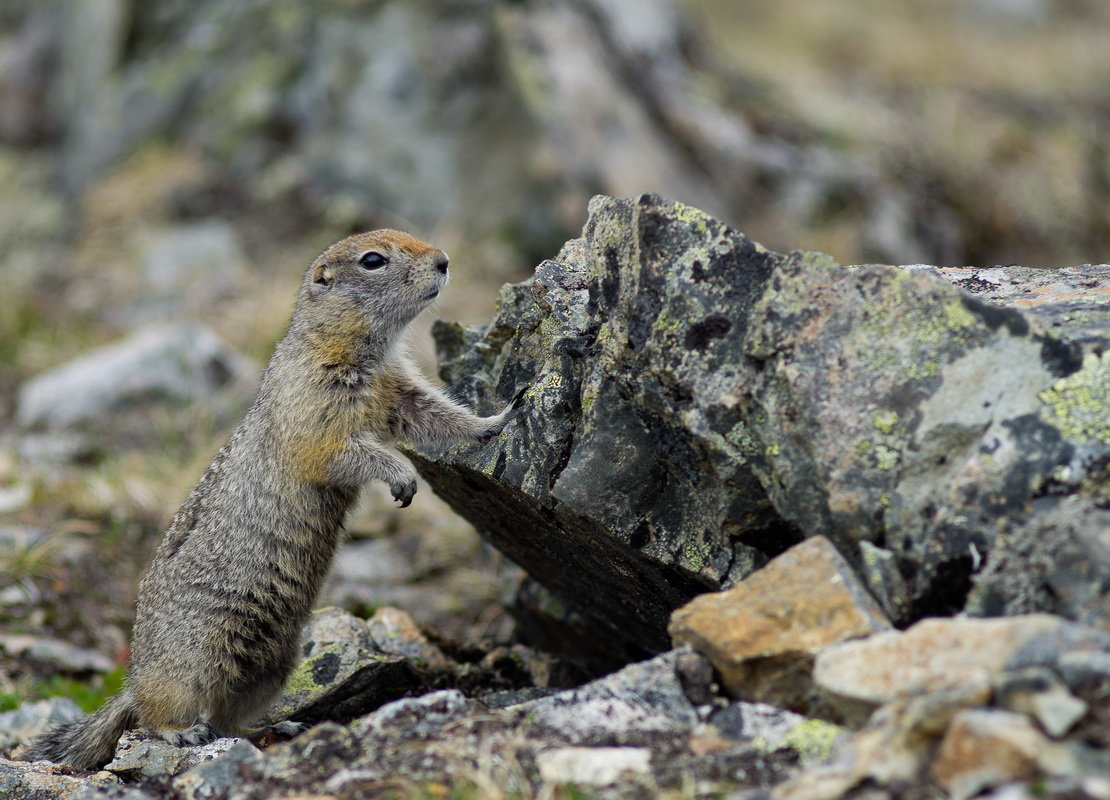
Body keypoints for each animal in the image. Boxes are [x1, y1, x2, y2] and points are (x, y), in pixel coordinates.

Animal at [24, 227, 519, 763]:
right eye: (373, 260)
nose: (444, 261)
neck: (357, 348)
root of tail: (134, 679)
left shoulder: (397, 389)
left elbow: (434, 415)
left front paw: (496, 421)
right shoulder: (316, 400)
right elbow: (335, 451)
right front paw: (403, 474)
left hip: (275, 662)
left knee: (228, 715)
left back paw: (274, 727)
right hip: (195, 656)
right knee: (157, 712)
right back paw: (179, 731)